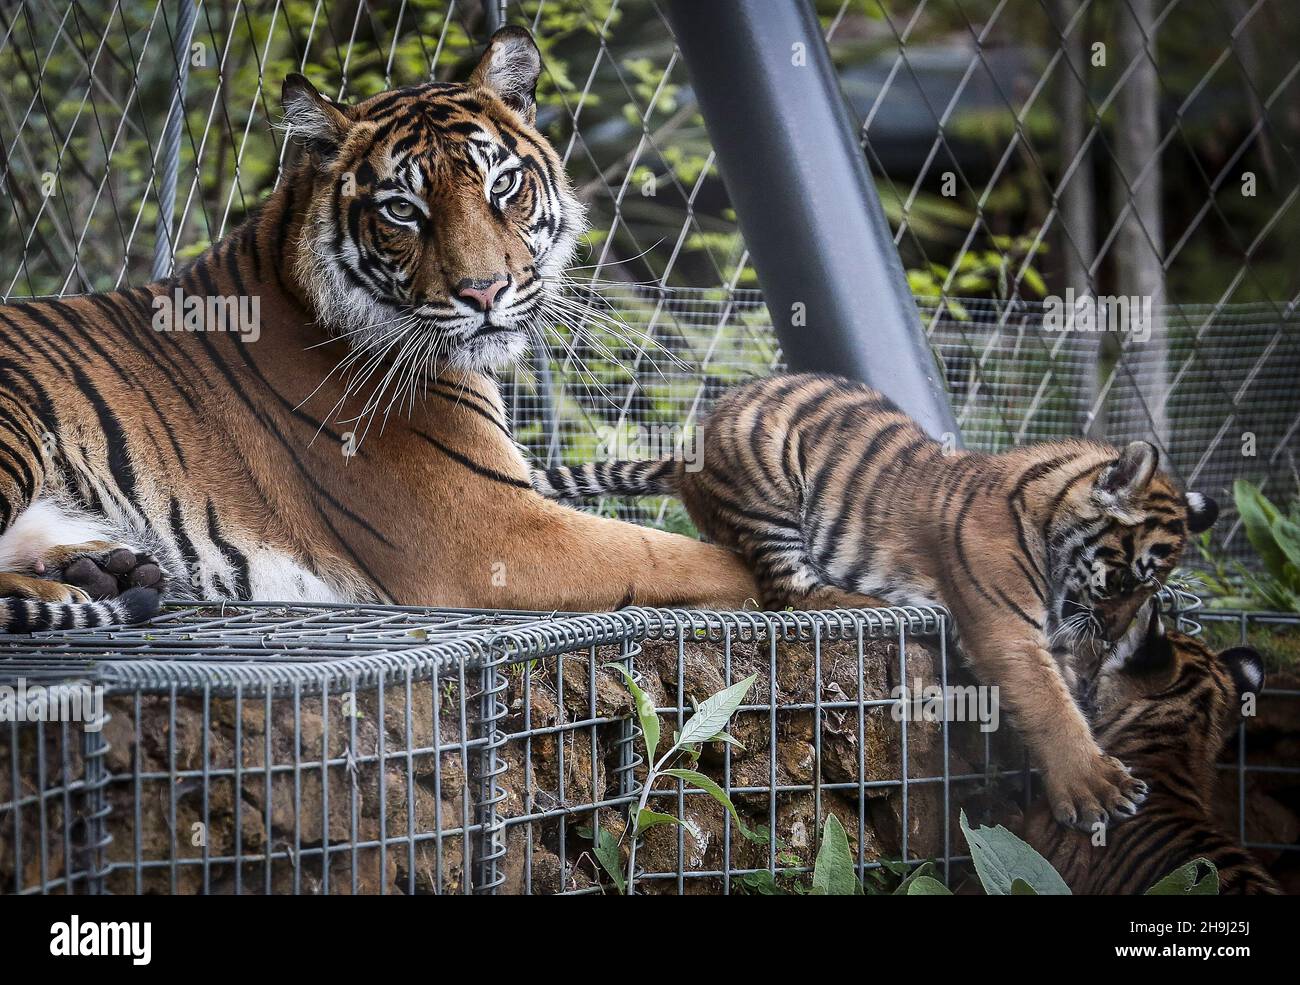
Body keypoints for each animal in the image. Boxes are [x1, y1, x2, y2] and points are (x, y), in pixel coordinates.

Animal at [0, 30, 759, 636]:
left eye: (503, 185)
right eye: (401, 209)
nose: (485, 291)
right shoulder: (494, 530)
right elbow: (688, 558)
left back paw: (104, 568)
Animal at [533, 374, 1222, 831]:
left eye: (1151, 591)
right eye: (1126, 581)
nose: (1111, 634)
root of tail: (688, 455)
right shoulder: (1007, 631)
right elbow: (1052, 707)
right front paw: (1096, 788)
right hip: (771, 488)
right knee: (791, 594)